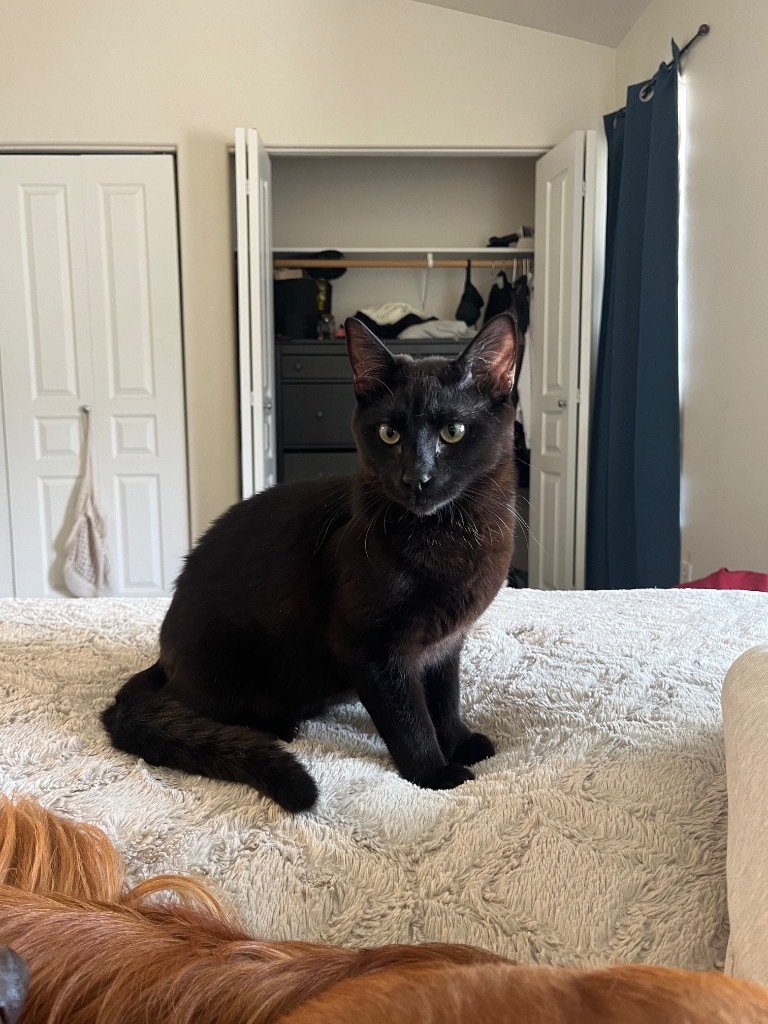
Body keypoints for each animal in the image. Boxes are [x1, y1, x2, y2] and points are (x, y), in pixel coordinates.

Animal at [102, 315, 520, 811]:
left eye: (453, 432)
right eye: (389, 434)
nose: (415, 478)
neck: (451, 535)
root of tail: (163, 661)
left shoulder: (446, 642)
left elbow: (444, 698)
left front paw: (459, 742)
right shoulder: (370, 650)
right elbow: (410, 719)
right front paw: (435, 774)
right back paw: (275, 725)